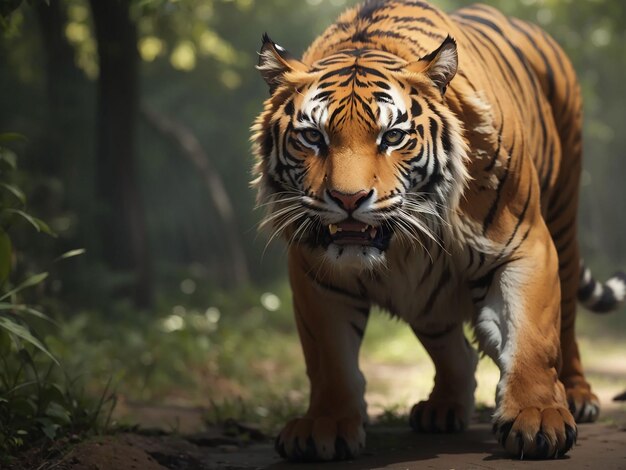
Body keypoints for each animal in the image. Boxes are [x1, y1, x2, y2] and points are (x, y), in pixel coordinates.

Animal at [250, 0, 624, 462]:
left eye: (392, 136)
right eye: (312, 137)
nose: (348, 199)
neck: (403, 243)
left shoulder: (524, 246)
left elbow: (532, 337)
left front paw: (537, 417)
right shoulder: (315, 271)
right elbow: (329, 357)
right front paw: (326, 424)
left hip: (564, 218)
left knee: (567, 322)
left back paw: (577, 395)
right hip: (427, 293)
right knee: (452, 346)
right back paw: (443, 406)